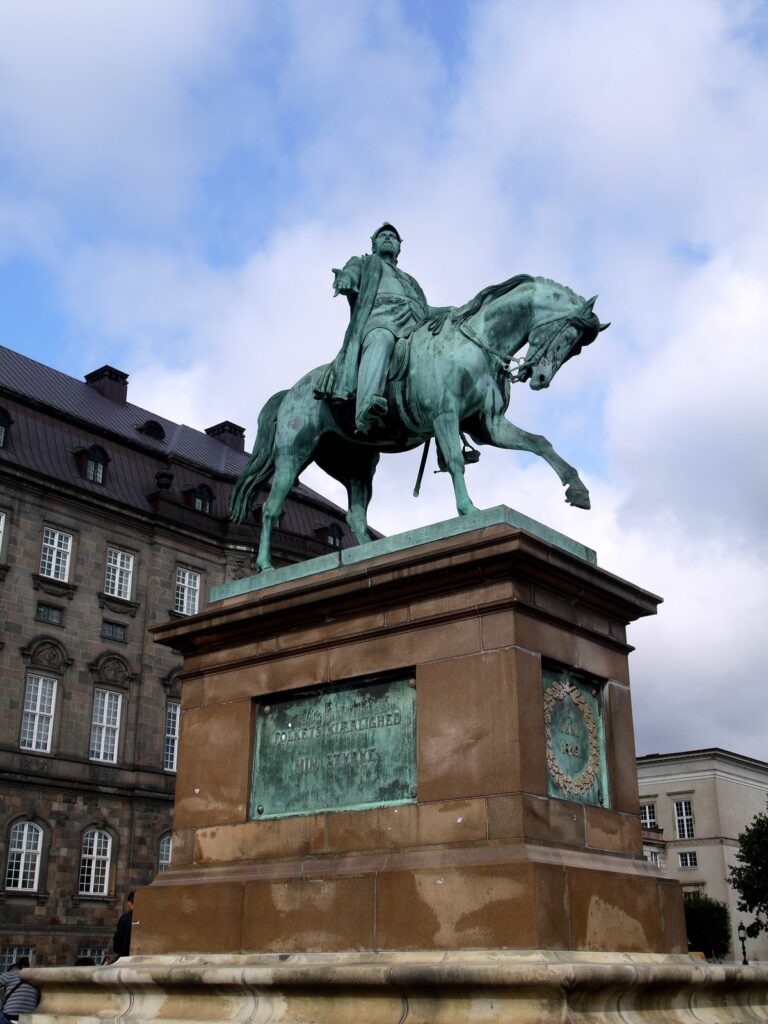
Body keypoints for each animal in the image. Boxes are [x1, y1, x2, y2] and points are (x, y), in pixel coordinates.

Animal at [231, 276, 610, 573]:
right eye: (568, 337)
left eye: (576, 349)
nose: (539, 378)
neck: (476, 343)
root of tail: (291, 391)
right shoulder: (445, 417)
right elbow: (456, 461)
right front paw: (468, 510)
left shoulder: (489, 426)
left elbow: (540, 443)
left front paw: (577, 490)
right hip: (294, 456)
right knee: (272, 507)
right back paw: (264, 567)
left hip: (358, 464)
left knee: (354, 516)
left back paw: (367, 553)